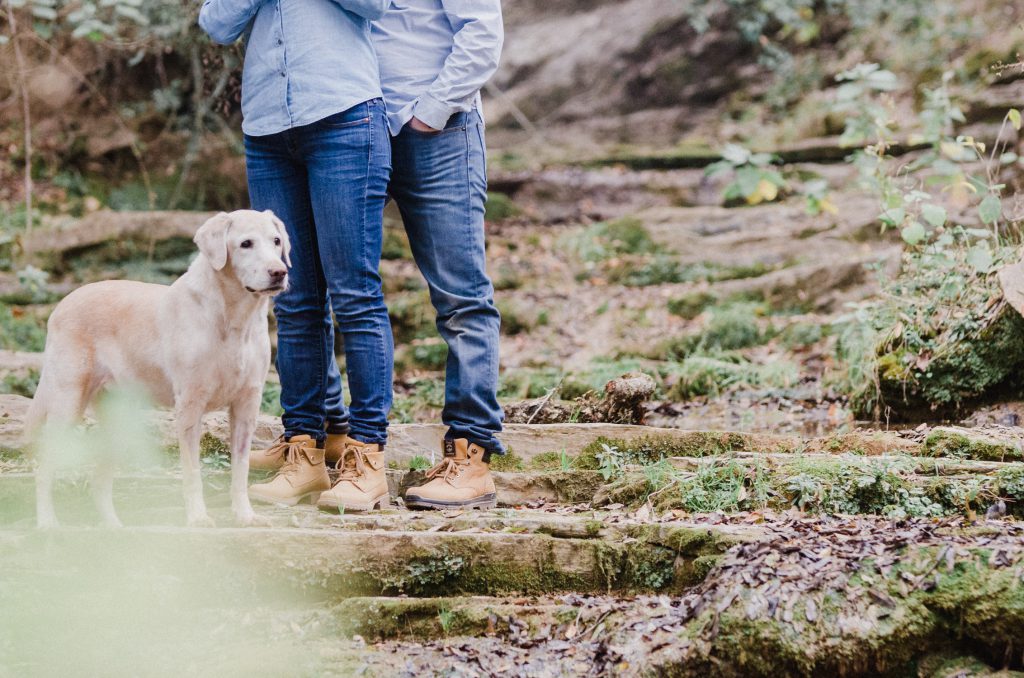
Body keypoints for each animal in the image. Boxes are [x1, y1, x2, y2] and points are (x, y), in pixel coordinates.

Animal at [28, 209, 290, 528]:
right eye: (246, 244)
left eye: (276, 241)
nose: (279, 272)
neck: (235, 319)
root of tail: (60, 305)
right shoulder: (190, 404)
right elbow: (192, 472)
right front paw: (198, 518)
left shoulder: (247, 405)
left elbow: (241, 468)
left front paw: (245, 516)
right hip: (67, 402)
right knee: (45, 467)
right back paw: (47, 522)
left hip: (120, 421)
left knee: (99, 479)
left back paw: (113, 528)